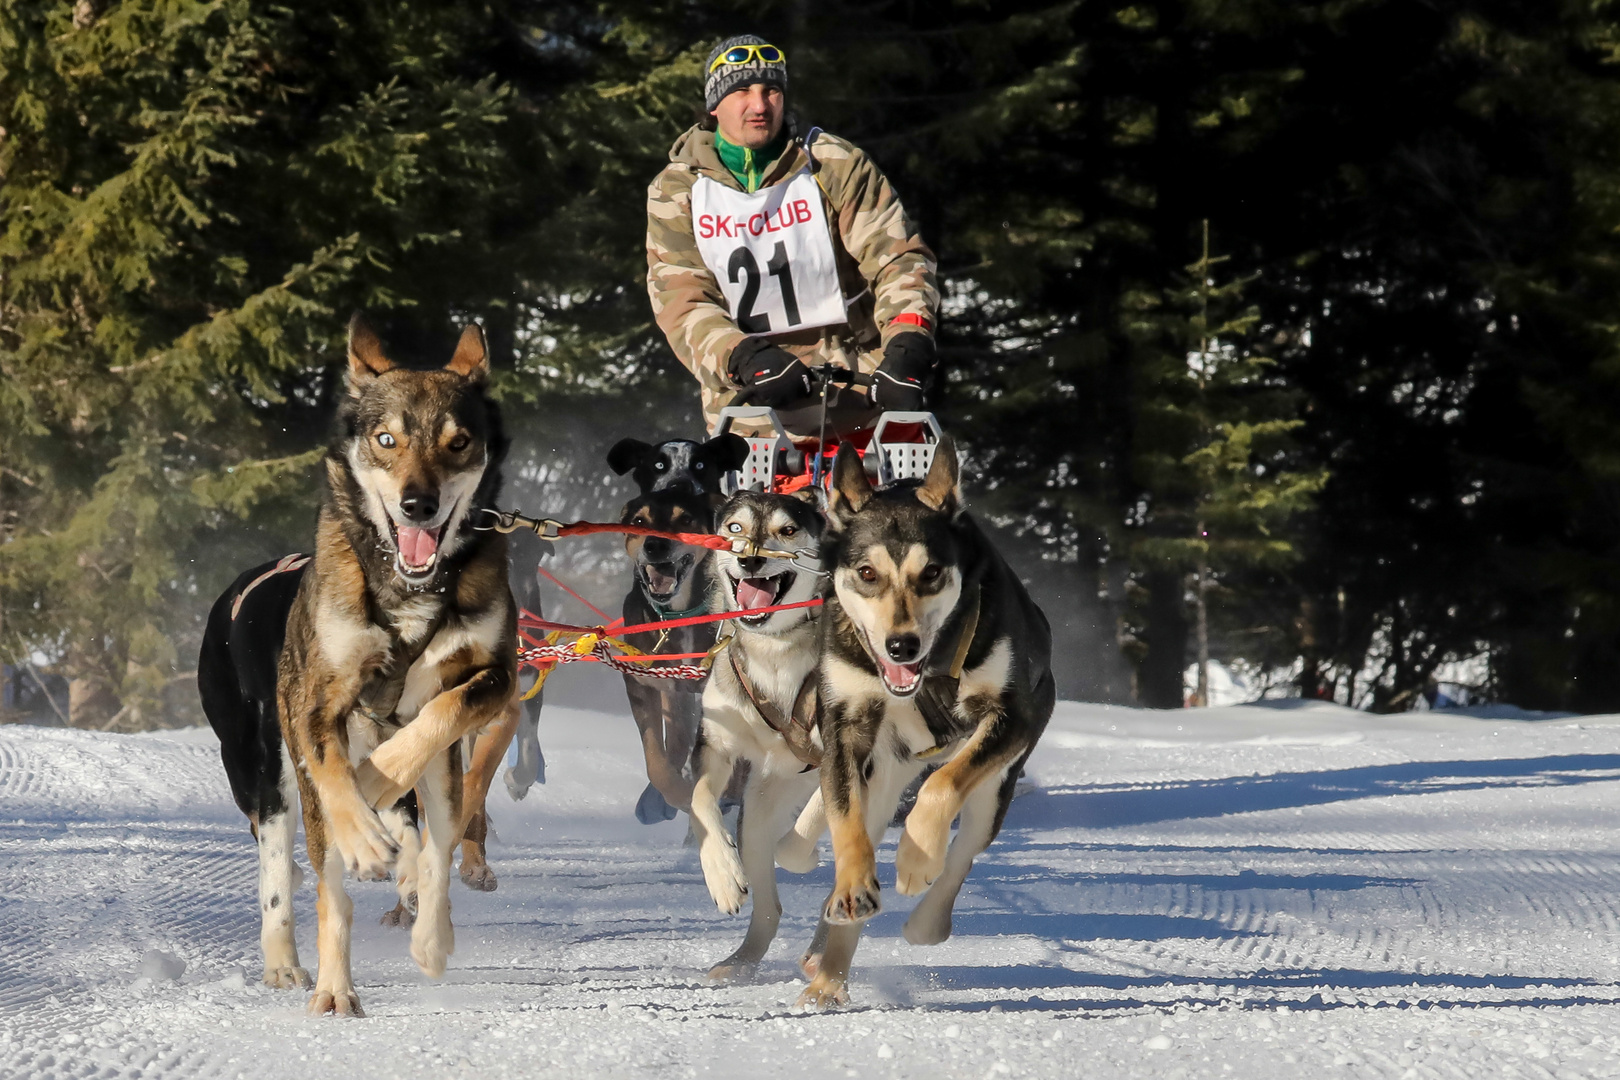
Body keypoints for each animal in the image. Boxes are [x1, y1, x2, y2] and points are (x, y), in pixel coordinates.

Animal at [609, 433, 751, 822]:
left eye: (685, 519)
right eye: (639, 521)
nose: (655, 544)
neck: (681, 616)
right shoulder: (643, 683)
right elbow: (657, 760)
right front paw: (675, 795)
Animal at [686, 488, 829, 977]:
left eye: (788, 530)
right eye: (736, 528)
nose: (750, 559)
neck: (776, 649)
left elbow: (802, 838)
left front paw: (805, 855)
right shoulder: (716, 745)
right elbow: (699, 803)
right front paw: (723, 877)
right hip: (760, 803)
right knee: (769, 910)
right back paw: (739, 963)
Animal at [800, 433, 1056, 1010]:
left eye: (932, 572)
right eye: (867, 573)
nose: (901, 645)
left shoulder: (1010, 719)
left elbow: (942, 787)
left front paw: (917, 859)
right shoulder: (843, 731)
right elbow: (845, 827)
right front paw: (851, 889)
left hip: (996, 786)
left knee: (962, 851)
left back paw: (926, 919)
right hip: (879, 780)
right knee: (863, 833)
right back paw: (829, 968)